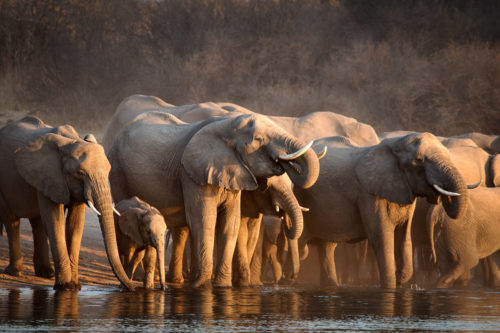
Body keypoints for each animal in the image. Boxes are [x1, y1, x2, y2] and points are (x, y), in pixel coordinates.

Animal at [0, 116, 134, 290]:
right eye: (80, 173)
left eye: (108, 171)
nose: (132, 288)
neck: (70, 142)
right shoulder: (49, 174)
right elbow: (54, 221)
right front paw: (65, 287)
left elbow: (75, 225)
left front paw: (75, 286)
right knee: (11, 221)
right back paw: (15, 273)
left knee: (38, 222)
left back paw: (46, 274)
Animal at [106, 110, 320, 286]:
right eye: (259, 139)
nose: (283, 161)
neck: (227, 125)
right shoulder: (192, 174)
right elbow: (204, 220)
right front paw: (202, 286)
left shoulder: (233, 173)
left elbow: (230, 224)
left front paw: (223, 286)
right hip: (117, 168)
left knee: (181, 229)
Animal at [292, 132, 468, 288]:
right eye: (418, 160)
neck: (395, 144)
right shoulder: (369, 195)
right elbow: (382, 239)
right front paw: (391, 285)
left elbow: (404, 237)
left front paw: (401, 278)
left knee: (327, 248)